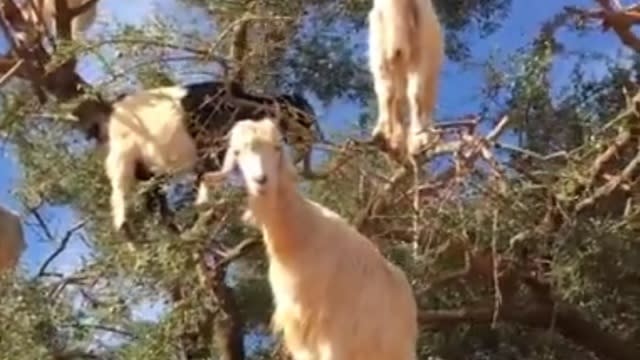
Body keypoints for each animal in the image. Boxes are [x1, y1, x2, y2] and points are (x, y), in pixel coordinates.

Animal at [202, 119, 418, 360]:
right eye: (237, 153)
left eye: (277, 148)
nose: (261, 180)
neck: (301, 235)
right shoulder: (300, 333)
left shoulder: (333, 332)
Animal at [368, 0, 442, 159]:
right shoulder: (382, 59)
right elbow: (386, 95)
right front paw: (382, 134)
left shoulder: (419, 57)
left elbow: (415, 95)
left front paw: (417, 140)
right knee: (397, 101)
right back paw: (396, 142)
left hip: (430, 78)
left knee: (424, 105)